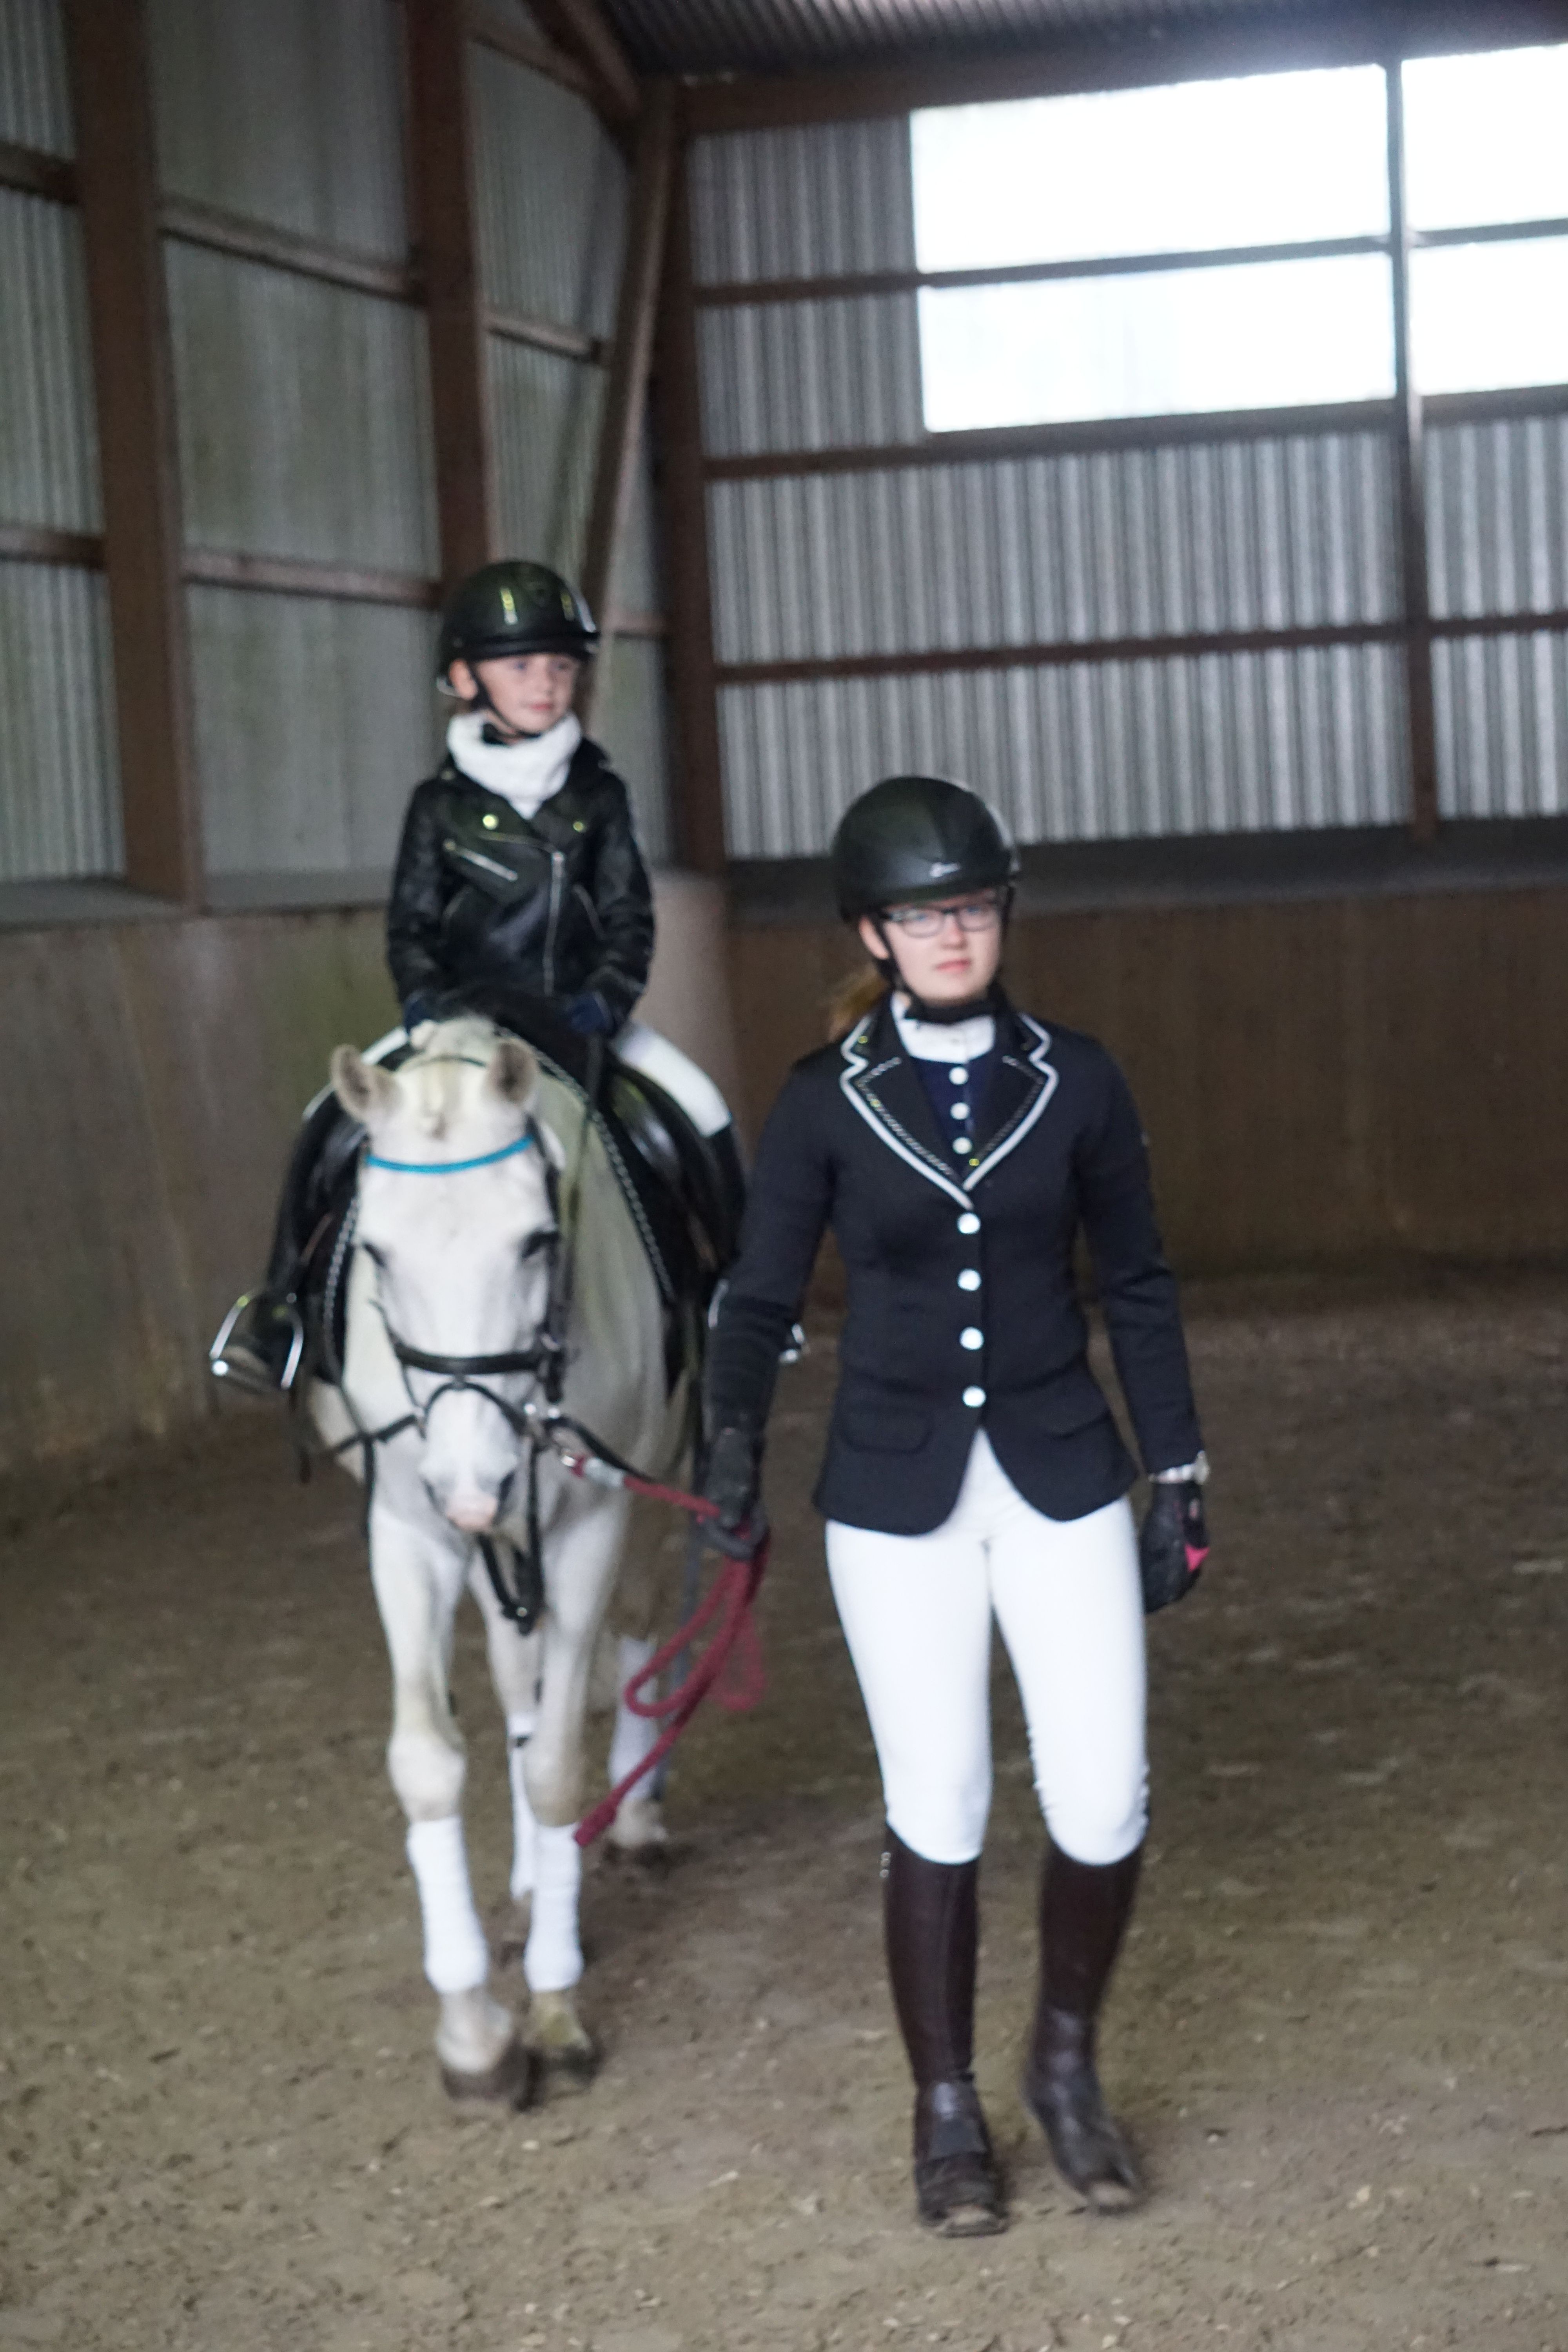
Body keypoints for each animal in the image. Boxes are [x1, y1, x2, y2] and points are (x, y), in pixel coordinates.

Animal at [309, 1016, 688, 2103]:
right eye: (377, 1252)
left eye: (535, 1241)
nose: (474, 1480)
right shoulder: (411, 1529)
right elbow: (429, 1762)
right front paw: (473, 2033)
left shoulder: (590, 1521)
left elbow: (559, 1765)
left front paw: (554, 2008)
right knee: (521, 1682)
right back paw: (528, 1875)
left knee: (639, 1623)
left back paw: (632, 1820)